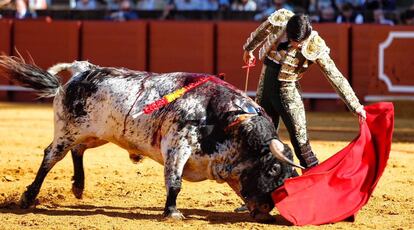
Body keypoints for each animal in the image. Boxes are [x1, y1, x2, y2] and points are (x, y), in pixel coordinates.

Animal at [0, 56, 300, 222]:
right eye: (273, 169)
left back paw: (78, 187)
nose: (267, 208)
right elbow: (175, 182)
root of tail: (83, 69)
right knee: (51, 155)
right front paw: (173, 213)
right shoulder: (178, 145)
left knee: (78, 151)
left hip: (97, 133)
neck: (226, 120)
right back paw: (28, 197)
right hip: (66, 130)